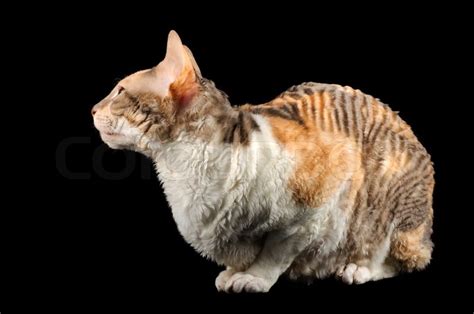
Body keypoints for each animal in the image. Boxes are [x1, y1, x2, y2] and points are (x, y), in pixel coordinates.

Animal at [91, 30, 434, 294]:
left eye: (119, 91)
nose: (93, 109)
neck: (181, 168)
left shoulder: (316, 203)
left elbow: (277, 250)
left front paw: (254, 277)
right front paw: (232, 273)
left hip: (390, 200)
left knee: (406, 256)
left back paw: (358, 269)